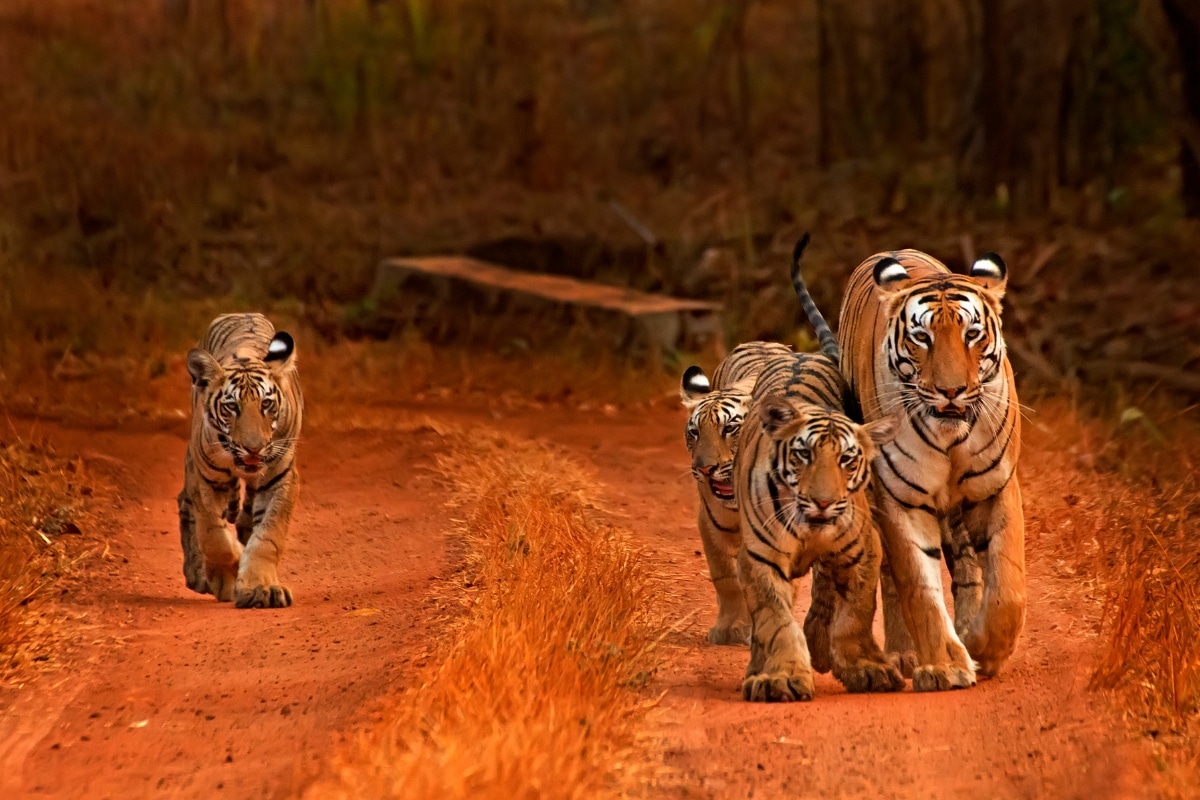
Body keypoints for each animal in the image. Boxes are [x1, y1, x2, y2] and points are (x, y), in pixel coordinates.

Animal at [177, 313, 304, 609]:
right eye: (231, 407)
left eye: (266, 404)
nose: (254, 449)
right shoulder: (208, 480)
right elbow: (213, 535)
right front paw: (227, 575)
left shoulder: (281, 479)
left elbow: (268, 535)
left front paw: (261, 587)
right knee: (186, 505)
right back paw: (197, 575)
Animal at [681, 340, 793, 644]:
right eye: (694, 432)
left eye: (730, 428)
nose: (705, 468)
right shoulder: (711, 522)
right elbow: (726, 577)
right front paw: (727, 628)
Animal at [733, 235, 905, 702]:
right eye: (803, 455)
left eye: (847, 458)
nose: (824, 503)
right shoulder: (760, 560)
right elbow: (775, 621)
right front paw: (780, 677)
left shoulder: (863, 548)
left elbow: (856, 612)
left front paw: (865, 668)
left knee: (826, 589)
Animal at [804, 245, 1024, 691]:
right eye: (922, 337)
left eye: (971, 334)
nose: (951, 390)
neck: (951, 438)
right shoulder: (901, 498)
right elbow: (918, 585)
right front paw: (944, 666)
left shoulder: (996, 487)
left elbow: (1007, 587)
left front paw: (985, 649)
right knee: (889, 575)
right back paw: (901, 653)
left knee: (967, 568)